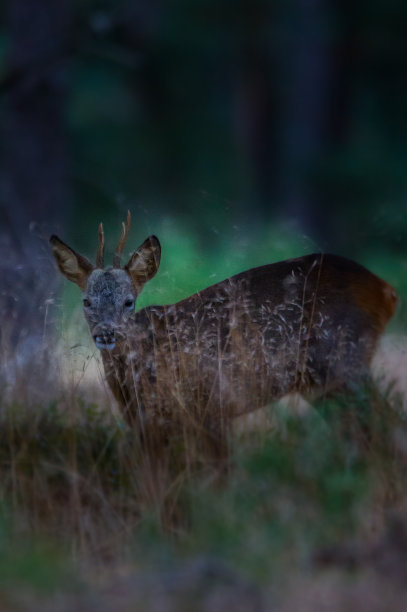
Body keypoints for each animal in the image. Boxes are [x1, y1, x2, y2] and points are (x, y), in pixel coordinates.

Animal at [50, 213, 398, 452]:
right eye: (86, 301)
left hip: (341, 361)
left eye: (128, 301)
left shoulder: (208, 405)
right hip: (320, 382)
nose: (106, 333)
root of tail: (387, 291)